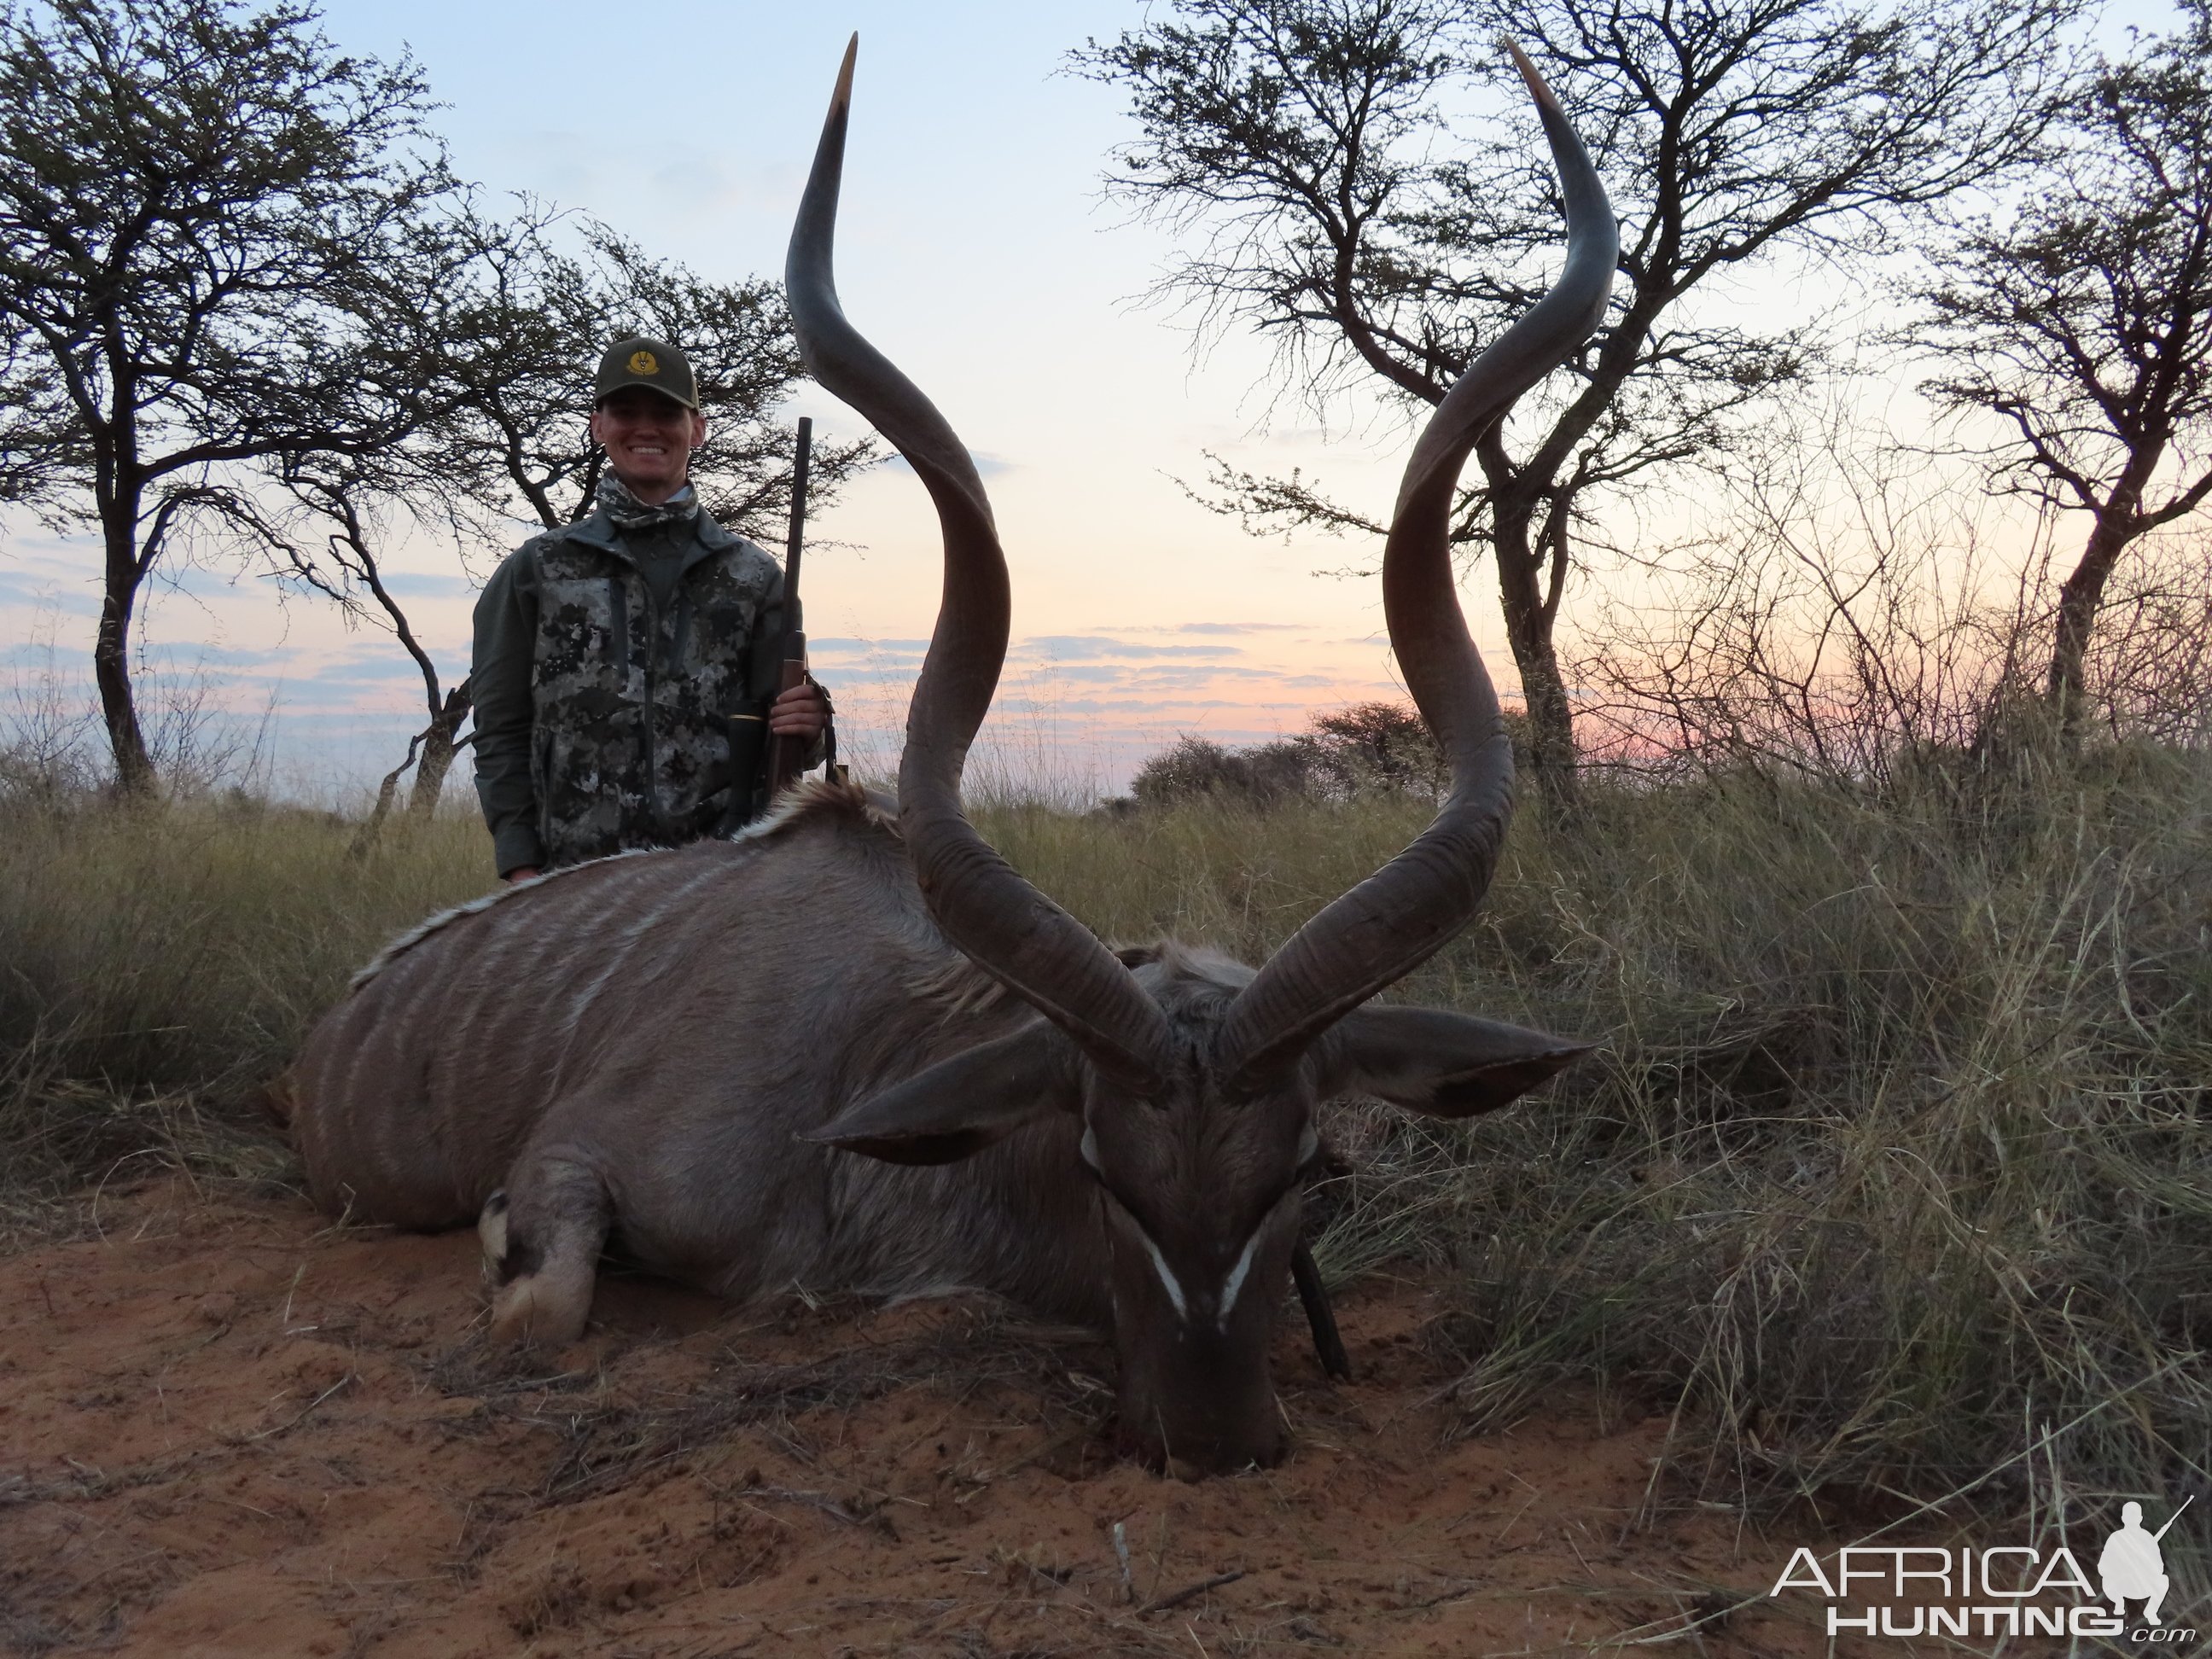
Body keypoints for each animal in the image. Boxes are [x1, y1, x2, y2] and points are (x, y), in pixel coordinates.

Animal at [289, 38, 1610, 1477]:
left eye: (1315, 1171)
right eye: (1097, 1169)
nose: (1213, 1440)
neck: (857, 1069)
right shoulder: (575, 1161)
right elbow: (541, 1309)